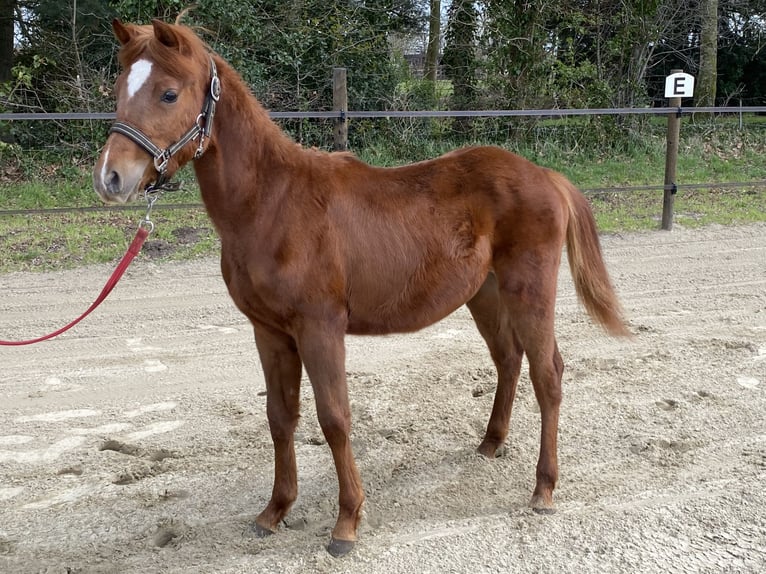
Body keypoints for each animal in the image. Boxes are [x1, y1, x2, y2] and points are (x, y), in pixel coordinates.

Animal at [93, 19, 630, 557]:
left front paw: (346, 522)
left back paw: (543, 489)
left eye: (169, 93)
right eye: (118, 89)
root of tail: (546, 176)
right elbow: (279, 417)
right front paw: (274, 512)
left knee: (548, 374)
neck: (272, 203)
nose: (111, 178)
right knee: (508, 359)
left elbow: (334, 418)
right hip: (485, 293)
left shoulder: (320, 328)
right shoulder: (269, 332)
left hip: (529, 290)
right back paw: (491, 443)